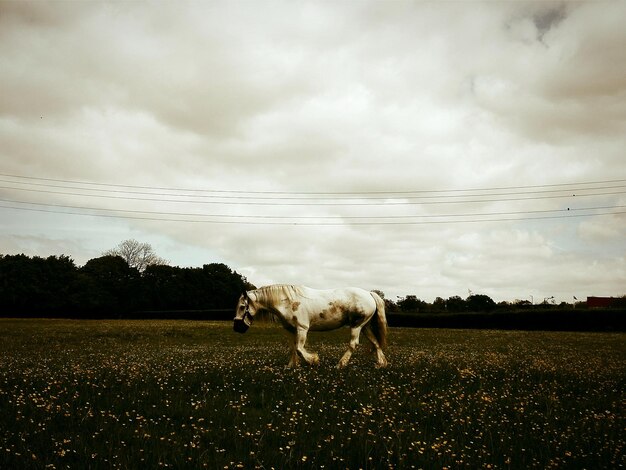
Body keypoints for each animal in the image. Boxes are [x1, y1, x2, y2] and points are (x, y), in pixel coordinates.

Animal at [234, 284, 386, 370]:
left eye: (242, 307)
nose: (237, 328)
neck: (287, 302)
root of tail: (369, 294)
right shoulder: (290, 330)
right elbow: (293, 348)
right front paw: (290, 366)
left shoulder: (302, 329)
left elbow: (299, 349)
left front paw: (313, 360)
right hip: (364, 326)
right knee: (376, 342)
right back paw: (381, 364)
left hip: (356, 326)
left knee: (353, 344)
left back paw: (340, 365)